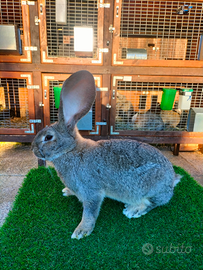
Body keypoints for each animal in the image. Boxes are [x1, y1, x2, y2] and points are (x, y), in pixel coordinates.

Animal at [31, 70, 181, 239]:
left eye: (48, 137)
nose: (33, 149)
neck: (71, 150)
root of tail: (172, 179)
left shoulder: (91, 190)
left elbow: (90, 212)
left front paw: (82, 231)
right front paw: (67, 191)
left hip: (151, 186)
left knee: (154, 203)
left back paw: (133, 210)